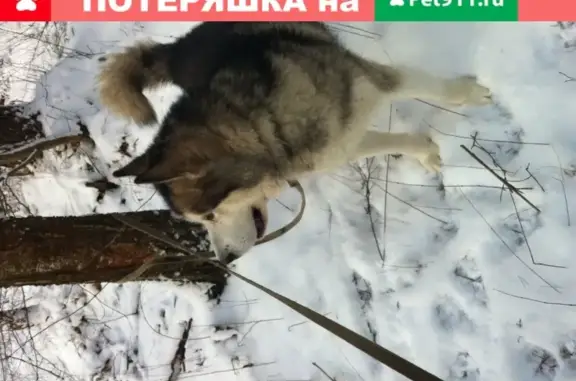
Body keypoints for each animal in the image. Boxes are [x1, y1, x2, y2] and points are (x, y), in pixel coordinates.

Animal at [98, 22, 490, 262]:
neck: (271, 132)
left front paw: (467, 93)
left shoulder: (370, 81)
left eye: (208, 215)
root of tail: (177, 49)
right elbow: (392, 142)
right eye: (200, 221)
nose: (225, 259)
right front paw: (426, 152)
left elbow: (429, 85)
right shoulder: (338, 145)